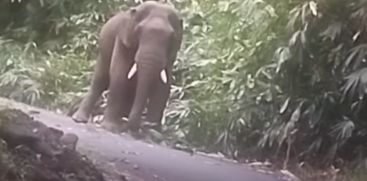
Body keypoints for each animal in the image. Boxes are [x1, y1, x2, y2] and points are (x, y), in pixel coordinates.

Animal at [71, 0, 184, 133]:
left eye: (172, 37)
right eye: (139, 30)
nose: (144, 125)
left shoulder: (171, 55)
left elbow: (164, 85)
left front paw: (154, 133)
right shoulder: (122, 40)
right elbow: (119, 75)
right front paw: (110, 128)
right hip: (103, 51)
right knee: (100, 80)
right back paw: (80, 119)